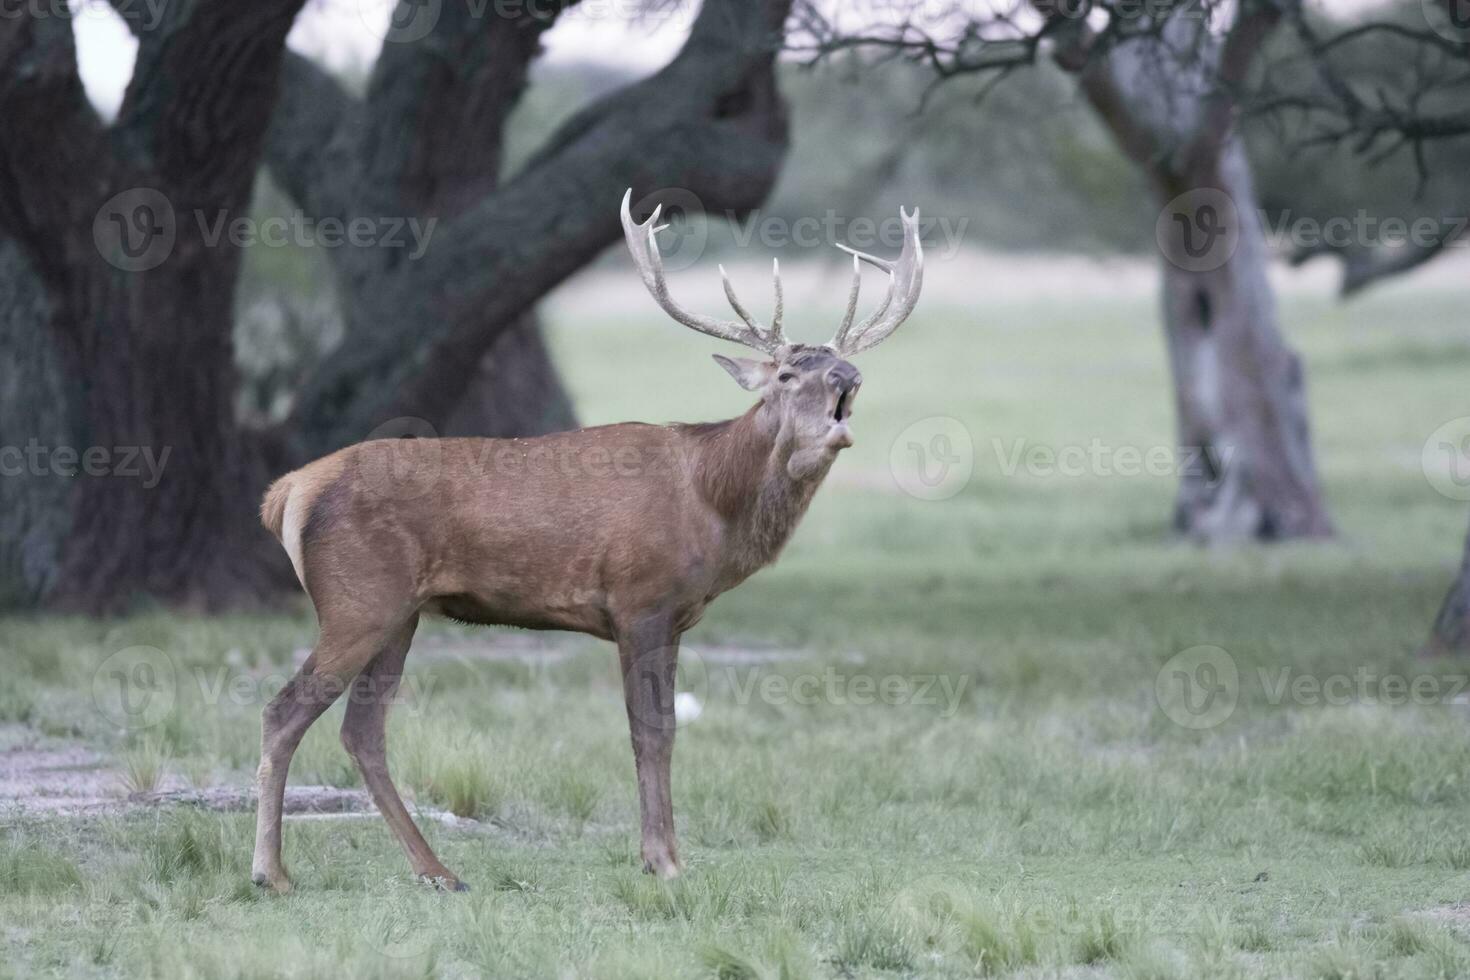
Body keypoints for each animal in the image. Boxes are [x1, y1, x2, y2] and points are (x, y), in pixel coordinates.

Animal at [248, 188, 923, 893]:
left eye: (840, 367)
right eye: (788, 374)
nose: (847, 378)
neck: (710, 501)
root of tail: (288, 491)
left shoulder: (676, 617)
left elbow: (667, 731)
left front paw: (665, 854)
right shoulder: (639, 599)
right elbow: (650, 733)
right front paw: (664, 860)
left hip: (399, 612)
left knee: (362, 731)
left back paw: (438, 871)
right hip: (357, 600)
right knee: (283, 712)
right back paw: (272, 872)